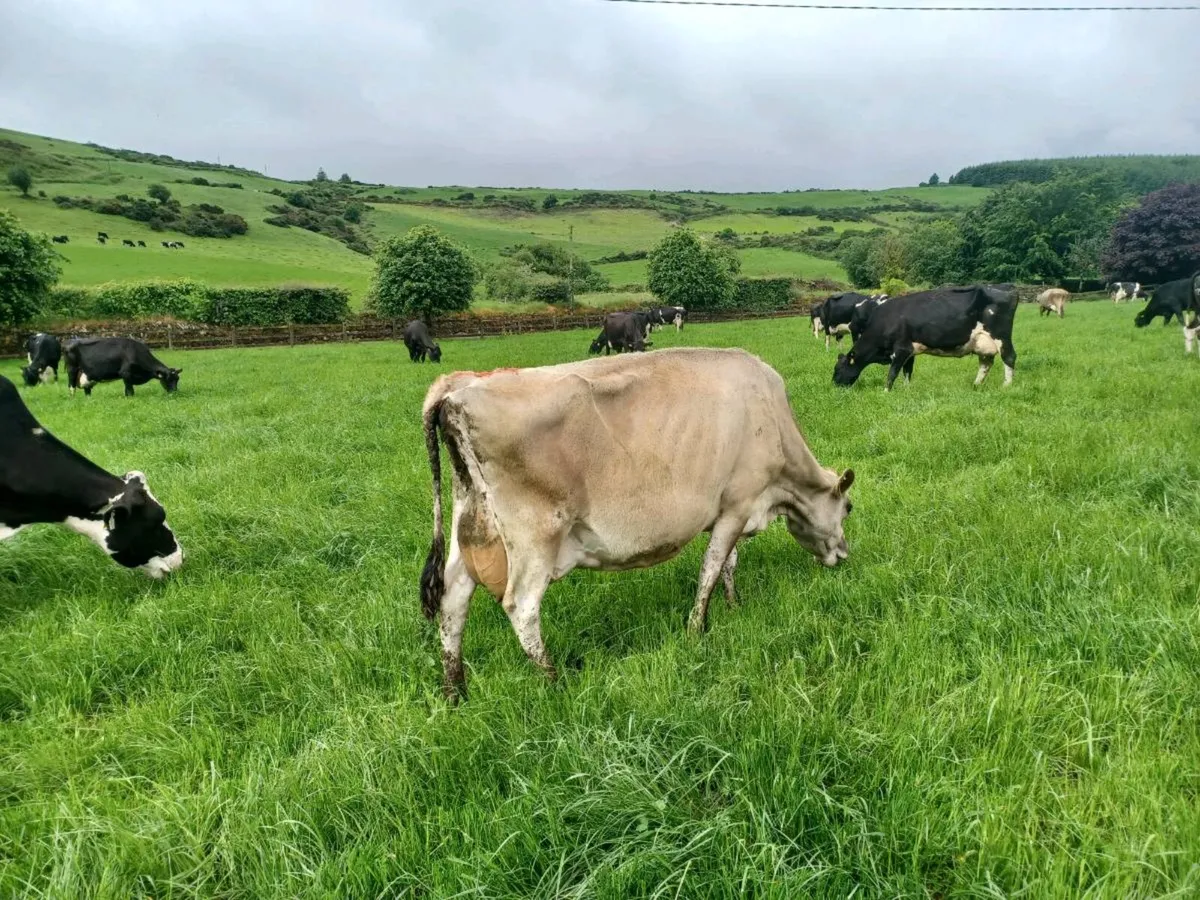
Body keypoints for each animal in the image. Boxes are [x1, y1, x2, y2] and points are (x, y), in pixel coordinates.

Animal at [418, 348, 856, 699]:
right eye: (848, 507)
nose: (844, 554)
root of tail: (457, 387)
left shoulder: (732, 509)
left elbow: (729, 563)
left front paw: (734, 606)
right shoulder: (738, 503)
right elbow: (712, 567)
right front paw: (697, 630)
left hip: (468, 525)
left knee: (453, 600)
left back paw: (455, 692)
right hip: (535, 537)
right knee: (521, 605)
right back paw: (554, 681)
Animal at [833, 285, 1018, 390]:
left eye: (837, 369)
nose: (834, 386)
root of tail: (1008, 291)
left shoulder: (901, 349)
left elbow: (892, 373)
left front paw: (886, 392)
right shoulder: (910, 352)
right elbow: (907, 372)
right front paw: (907, 390)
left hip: (1002, 337)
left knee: (1009, 357)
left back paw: (1006, 386)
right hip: (982, 343)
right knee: (985, 364)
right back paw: (976, 385)